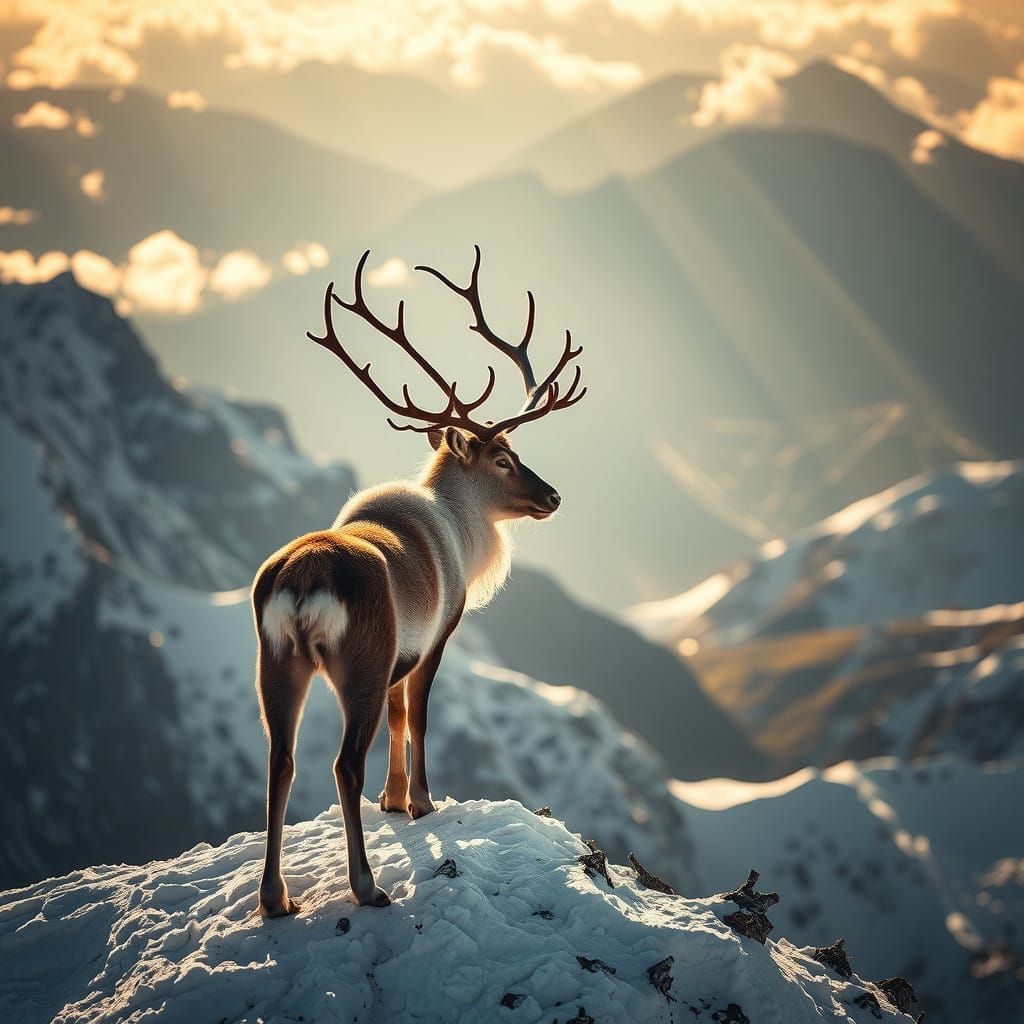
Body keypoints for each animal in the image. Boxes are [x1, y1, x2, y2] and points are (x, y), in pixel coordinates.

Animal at [252, 247, 586, 916]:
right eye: (503, 458)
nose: (554, 496)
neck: (461, 529)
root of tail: (302, 581)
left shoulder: (398, 658)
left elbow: (399, 715)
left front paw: (393, 797)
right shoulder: (436, 633)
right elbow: (419, 714)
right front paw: (421, 801)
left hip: (276, 659)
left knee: (281, 758)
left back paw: (276, 898)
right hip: (359, 657)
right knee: (342, 763)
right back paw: (366, 886)